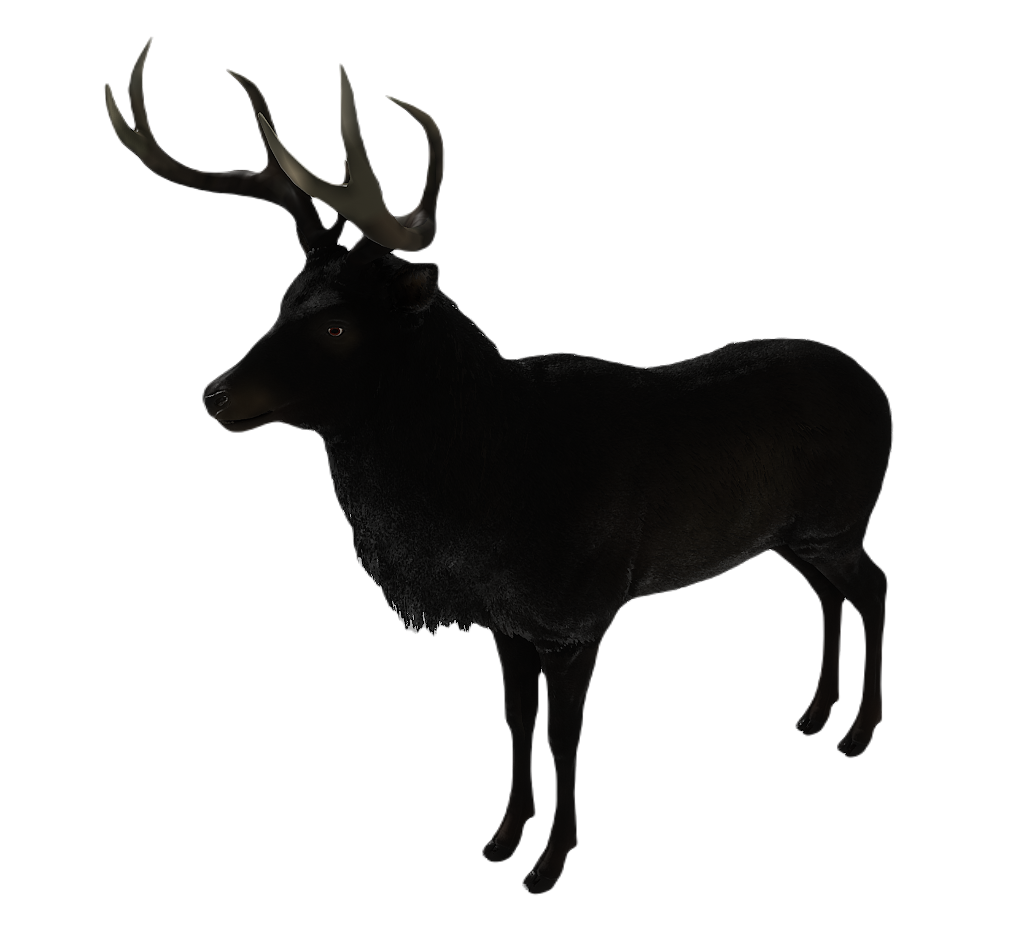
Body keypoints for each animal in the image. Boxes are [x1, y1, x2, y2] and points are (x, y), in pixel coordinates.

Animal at [105, 39, 891, 895]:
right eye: (283, 300)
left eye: (341, 325)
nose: (216, 394)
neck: (488, 508)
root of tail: (879, 393)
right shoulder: (507, 619)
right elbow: (514, 723)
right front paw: (500, 839)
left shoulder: (580, 613)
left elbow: (562, 736)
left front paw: (549, 864)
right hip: (793, 536)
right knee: (828, 591)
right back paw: (814, 716)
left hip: (840, 519)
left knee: (874, 584)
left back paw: (857, 734)